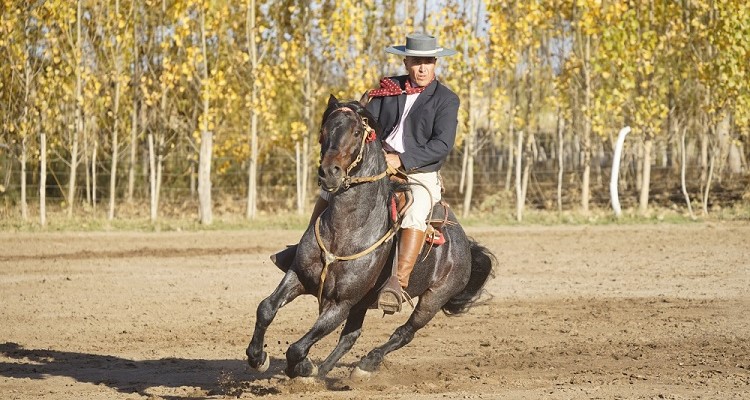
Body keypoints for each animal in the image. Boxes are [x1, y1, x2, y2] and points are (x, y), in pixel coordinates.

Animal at [244, 95, 496, 380]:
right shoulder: (298, 276)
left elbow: (298, 347)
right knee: (351, 336)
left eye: (356, 132)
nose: (329, 172)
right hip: (364, 303)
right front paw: (258, 357)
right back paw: (325, 372)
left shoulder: (342, 303)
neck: (345, 232)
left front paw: (303, 366)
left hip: (433, 299)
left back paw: (366, 364)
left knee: (404, 333)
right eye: (324, 129)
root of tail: (465, 245)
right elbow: (266, 308)